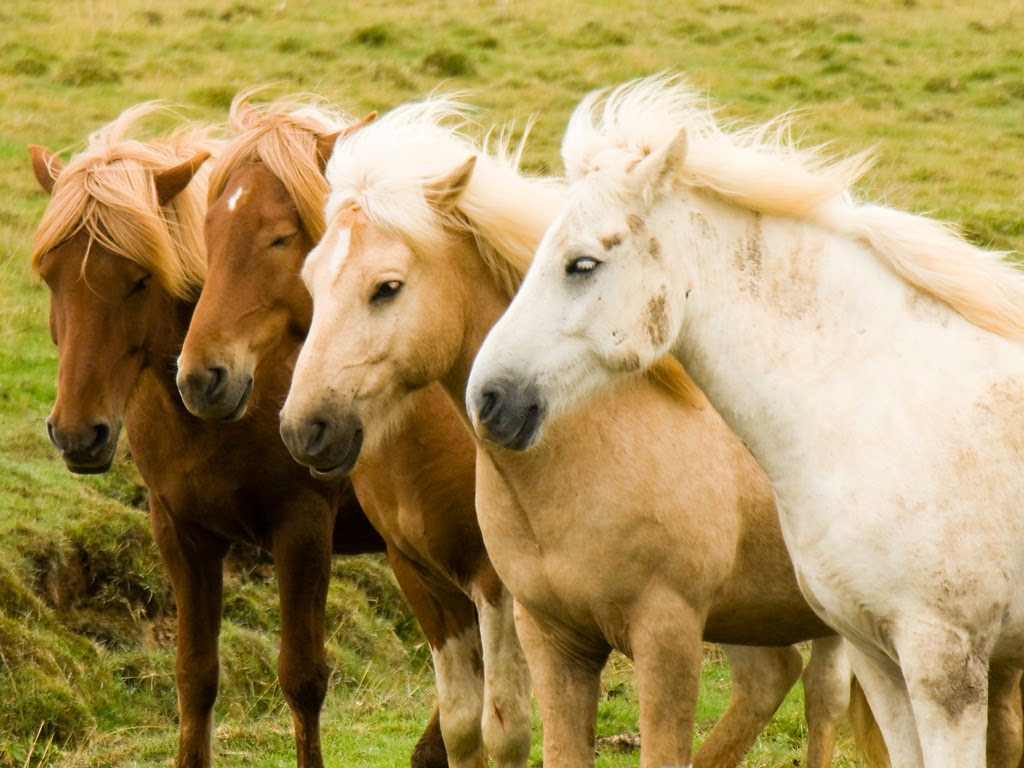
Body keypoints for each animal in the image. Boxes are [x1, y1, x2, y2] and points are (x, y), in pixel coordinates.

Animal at [27, 103, 446, 768]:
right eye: (49, 275)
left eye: (140, 279)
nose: (76, 433)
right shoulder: (181, 533)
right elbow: (195, 676)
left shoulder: (302, 529)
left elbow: (302, 678)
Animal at [174, 92, 533, 768]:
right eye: (206, 231)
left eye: (280, 237)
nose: (200, 377)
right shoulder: (419, 573)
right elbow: (464, 725)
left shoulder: (496, 581)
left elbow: (506, 727)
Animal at [277, 94, 861, 768]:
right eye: (310, 281)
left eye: (387, 288)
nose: (304, 428)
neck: (592, 449)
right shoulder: (554, 640)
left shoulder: (667, 638)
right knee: (770, 679)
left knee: (822, 701)